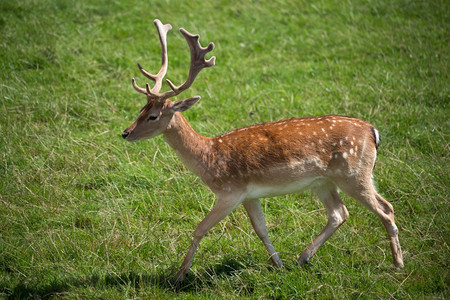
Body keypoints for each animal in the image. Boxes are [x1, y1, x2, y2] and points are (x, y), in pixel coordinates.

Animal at [120, 19, 404, 284]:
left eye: (154, 116)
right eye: (140, 109)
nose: (125, 133)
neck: (209, 157)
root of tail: (373, 131)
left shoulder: (230, 192)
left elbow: (200, 228)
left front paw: (179, 275)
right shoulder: (249, 195)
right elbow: (261, 229)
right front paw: (278, 264)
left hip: (353, 173)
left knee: (385, 209)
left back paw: (398, 264)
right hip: (325, 181)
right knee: (340, 213)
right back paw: (302, 258)